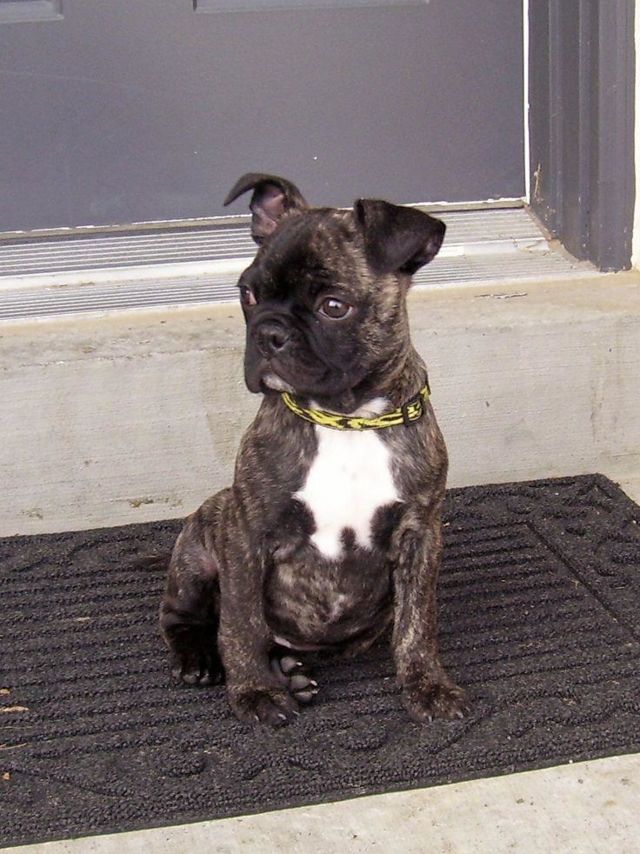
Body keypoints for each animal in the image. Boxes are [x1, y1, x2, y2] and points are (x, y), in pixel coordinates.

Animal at [157, 172, 468, 726]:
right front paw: (255, 691)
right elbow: (240, 621)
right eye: (248, 293)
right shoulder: (247, 534)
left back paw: (290, 669)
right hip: (206, 531)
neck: (346, 418)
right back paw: (206, 657)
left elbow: (418, 621)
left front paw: (427, 684)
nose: (268, 333)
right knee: (186, 614)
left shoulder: (420, 533)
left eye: (333, 307)